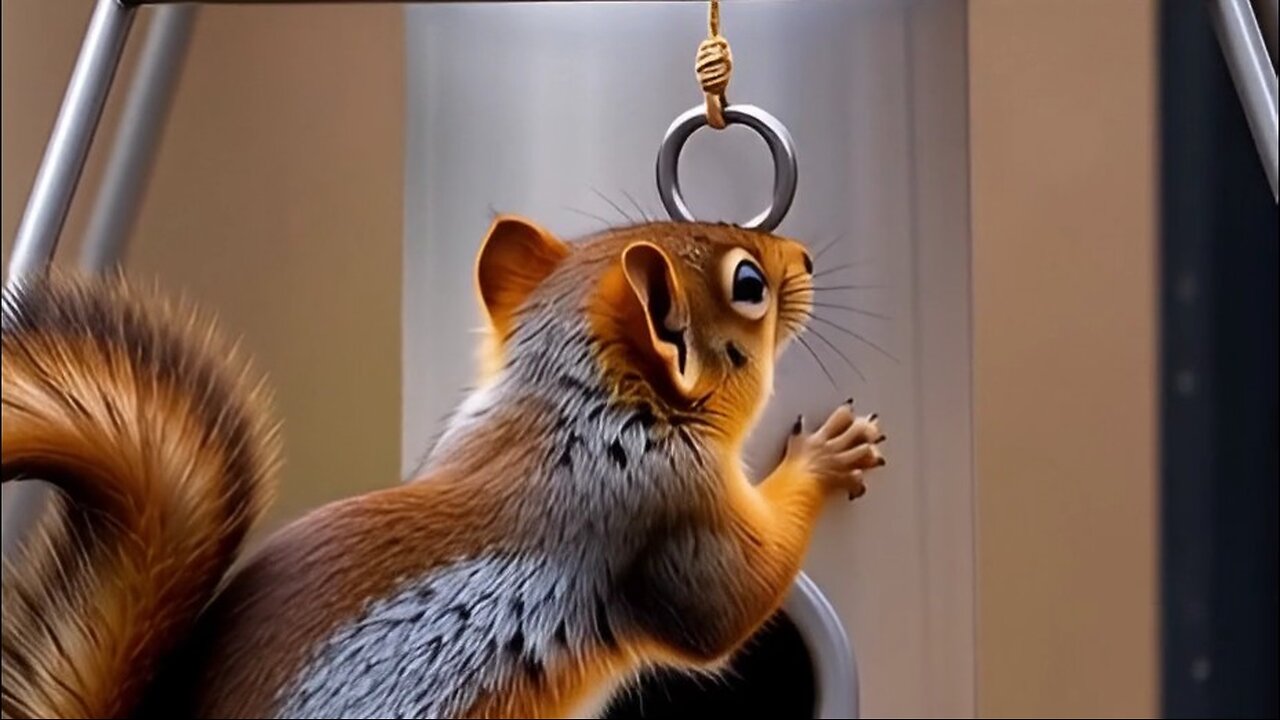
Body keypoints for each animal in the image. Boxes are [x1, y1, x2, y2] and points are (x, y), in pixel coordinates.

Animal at [1, 216, 886, 719]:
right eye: (749, 284)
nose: (804, 255)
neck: (573, 411)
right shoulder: (658, 509)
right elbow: (727, 608)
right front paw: (824, 456)